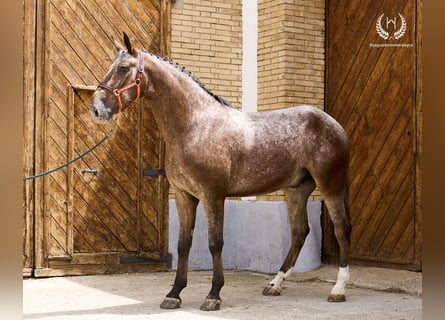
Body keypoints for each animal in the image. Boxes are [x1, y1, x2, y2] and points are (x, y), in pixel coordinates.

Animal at [90, 33, 350, 312]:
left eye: (122, 68)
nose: (96, 109)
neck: (195, 124)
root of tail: (336, 126)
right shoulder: (184, 196)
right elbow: (183, 244)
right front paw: (174, 293)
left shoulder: (212, 195)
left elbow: (215, 243)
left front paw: (213, 294)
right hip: (297, 190)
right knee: (299, 232)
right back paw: (274, 284)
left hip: (330, 186)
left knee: (341, 228)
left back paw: (338, 289)